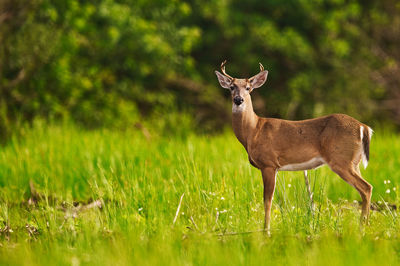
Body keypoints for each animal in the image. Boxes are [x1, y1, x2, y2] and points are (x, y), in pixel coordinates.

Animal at [214, 60, 374, 233]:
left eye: (248, 88)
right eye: (231, 87)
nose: (238, 100)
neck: (253, 131)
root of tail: (364, 127)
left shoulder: (269, 163)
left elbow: (267, 200)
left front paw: (266, 230)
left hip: (340, 159)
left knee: (366, 187)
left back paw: (362, 228)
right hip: (354, 162)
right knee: (365, 189)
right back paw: (365, 226)